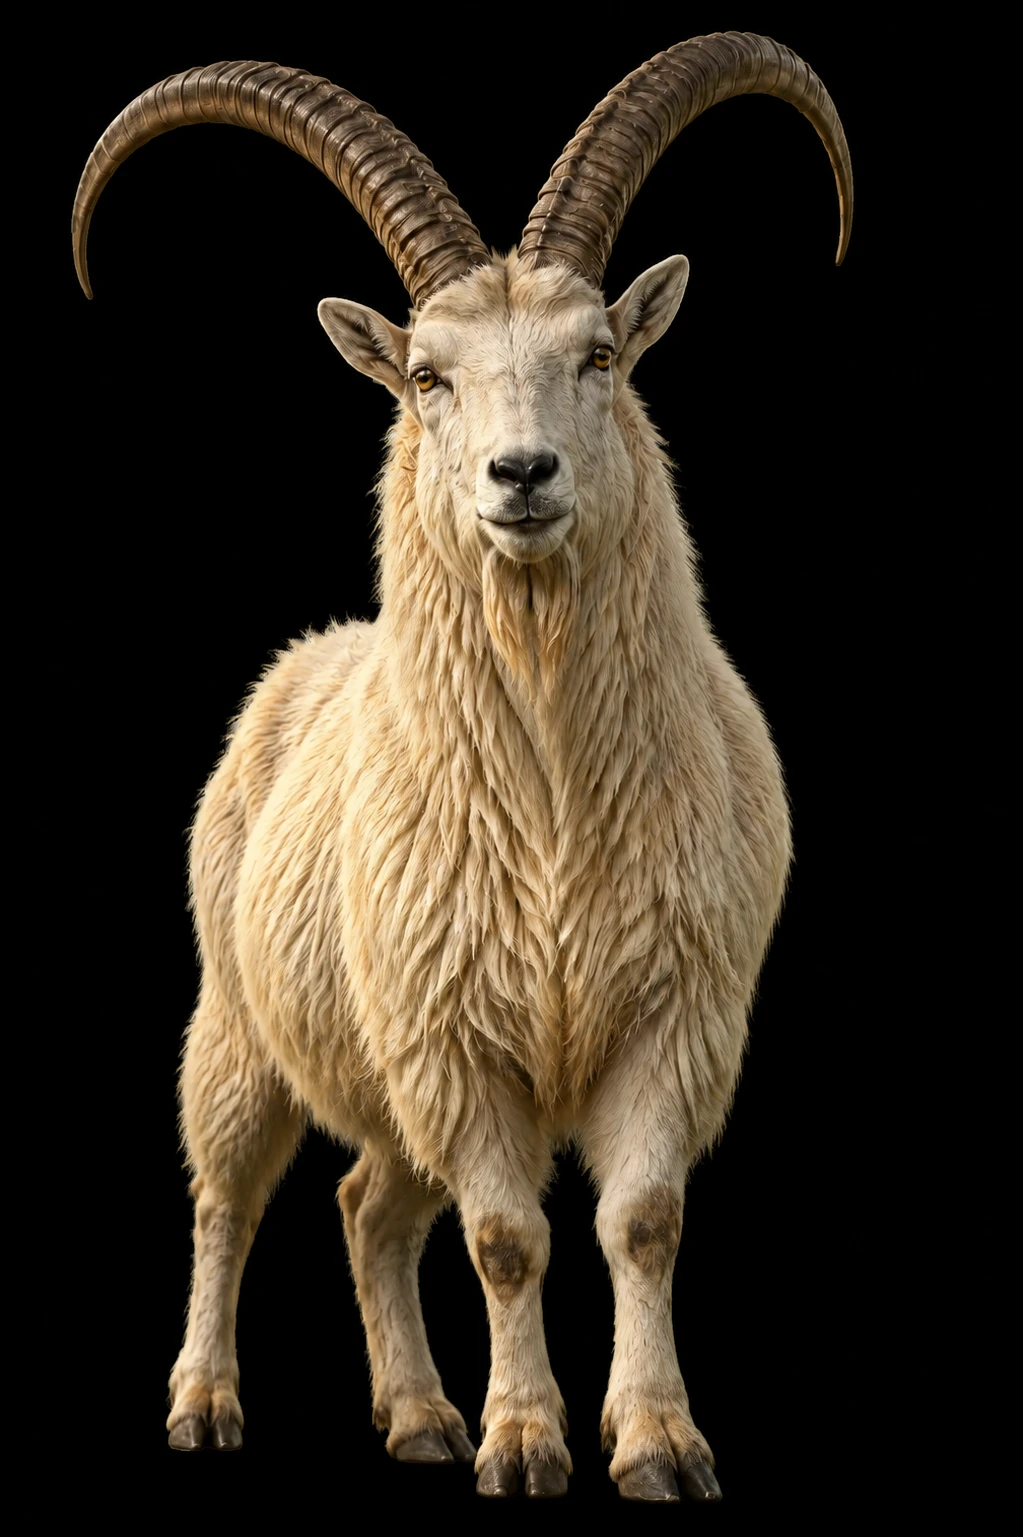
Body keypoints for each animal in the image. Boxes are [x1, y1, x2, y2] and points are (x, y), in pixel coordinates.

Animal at [73, 34, 852, 1501]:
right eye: (427, 372)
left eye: (597, 350)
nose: (521, 473)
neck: (547, 807)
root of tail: (308, 663)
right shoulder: (453, 1040)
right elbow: (506, 1239)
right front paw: (526, 1443)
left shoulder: (670, 1018)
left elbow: (640, 1221)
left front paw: (654, 1444)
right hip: (241, 1023)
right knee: (228, 1192)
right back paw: (207, 1404)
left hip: (384, 1084)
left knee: (367, 1204)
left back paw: (420, 1416)